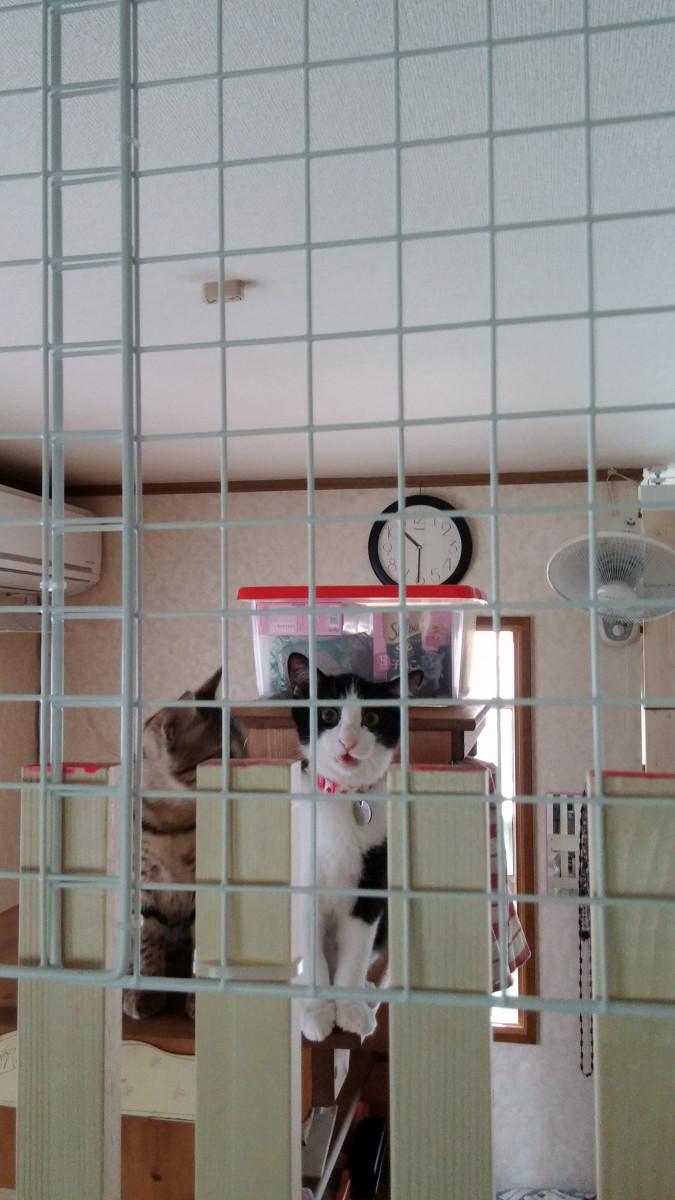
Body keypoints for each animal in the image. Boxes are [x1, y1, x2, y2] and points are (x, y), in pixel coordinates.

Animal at [123, 668, 247, 1020]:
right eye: (222, 759)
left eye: (245, 752)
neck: (172, 824)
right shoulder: (143, 886)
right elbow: (148, 941)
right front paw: (146, 990)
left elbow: (198, 945)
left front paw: (197, 998)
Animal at [287, 652, 422, 1042]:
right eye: (330, 715)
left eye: (372, 718)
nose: (347, 741)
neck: (340, 799)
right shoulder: (304, 884)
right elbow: (310, 954)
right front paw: (316, 1012)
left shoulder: (372, 881)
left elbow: (357, 948)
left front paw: (348, 1009)